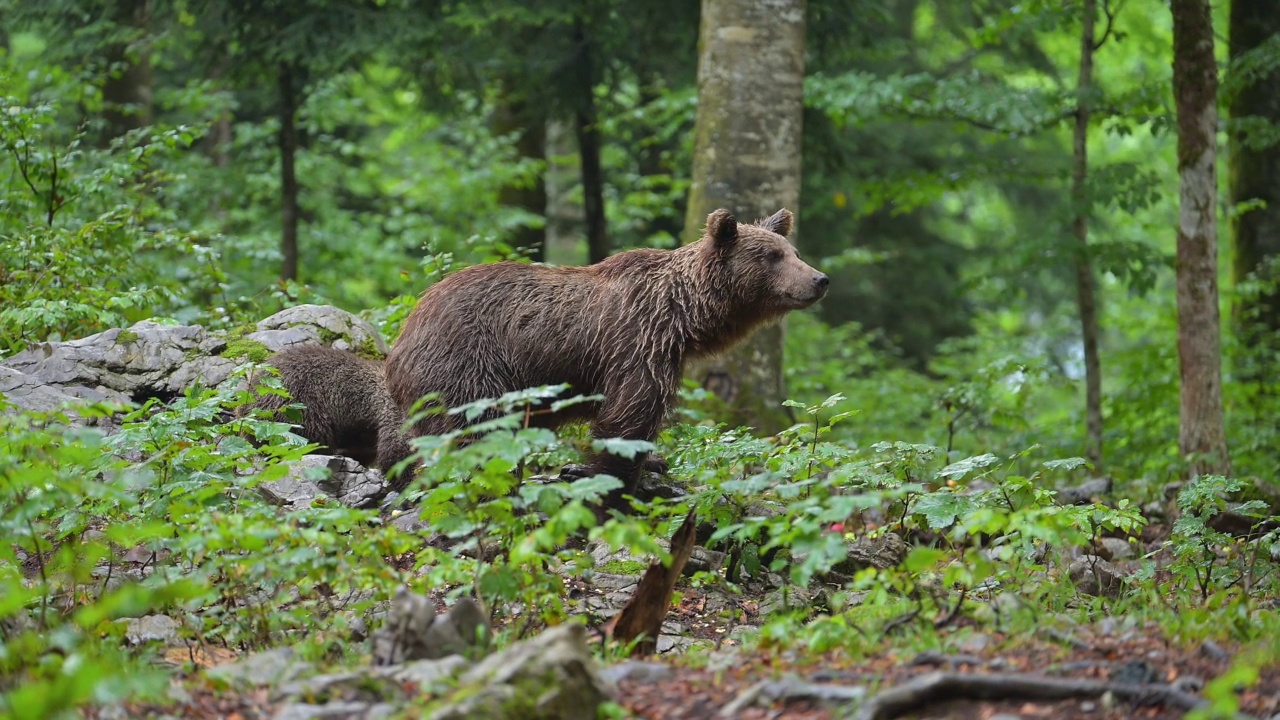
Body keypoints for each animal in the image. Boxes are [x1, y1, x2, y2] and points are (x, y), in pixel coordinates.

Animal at [384, 207, 829, 499]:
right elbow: (628, 417)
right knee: (478, 431)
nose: (820, 279)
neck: (683, 316)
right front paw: (615, 481)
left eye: (794, 251)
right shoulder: (635, 343)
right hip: (470, 364)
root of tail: (404, 334)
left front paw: (652, 463)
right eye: (772, 256)